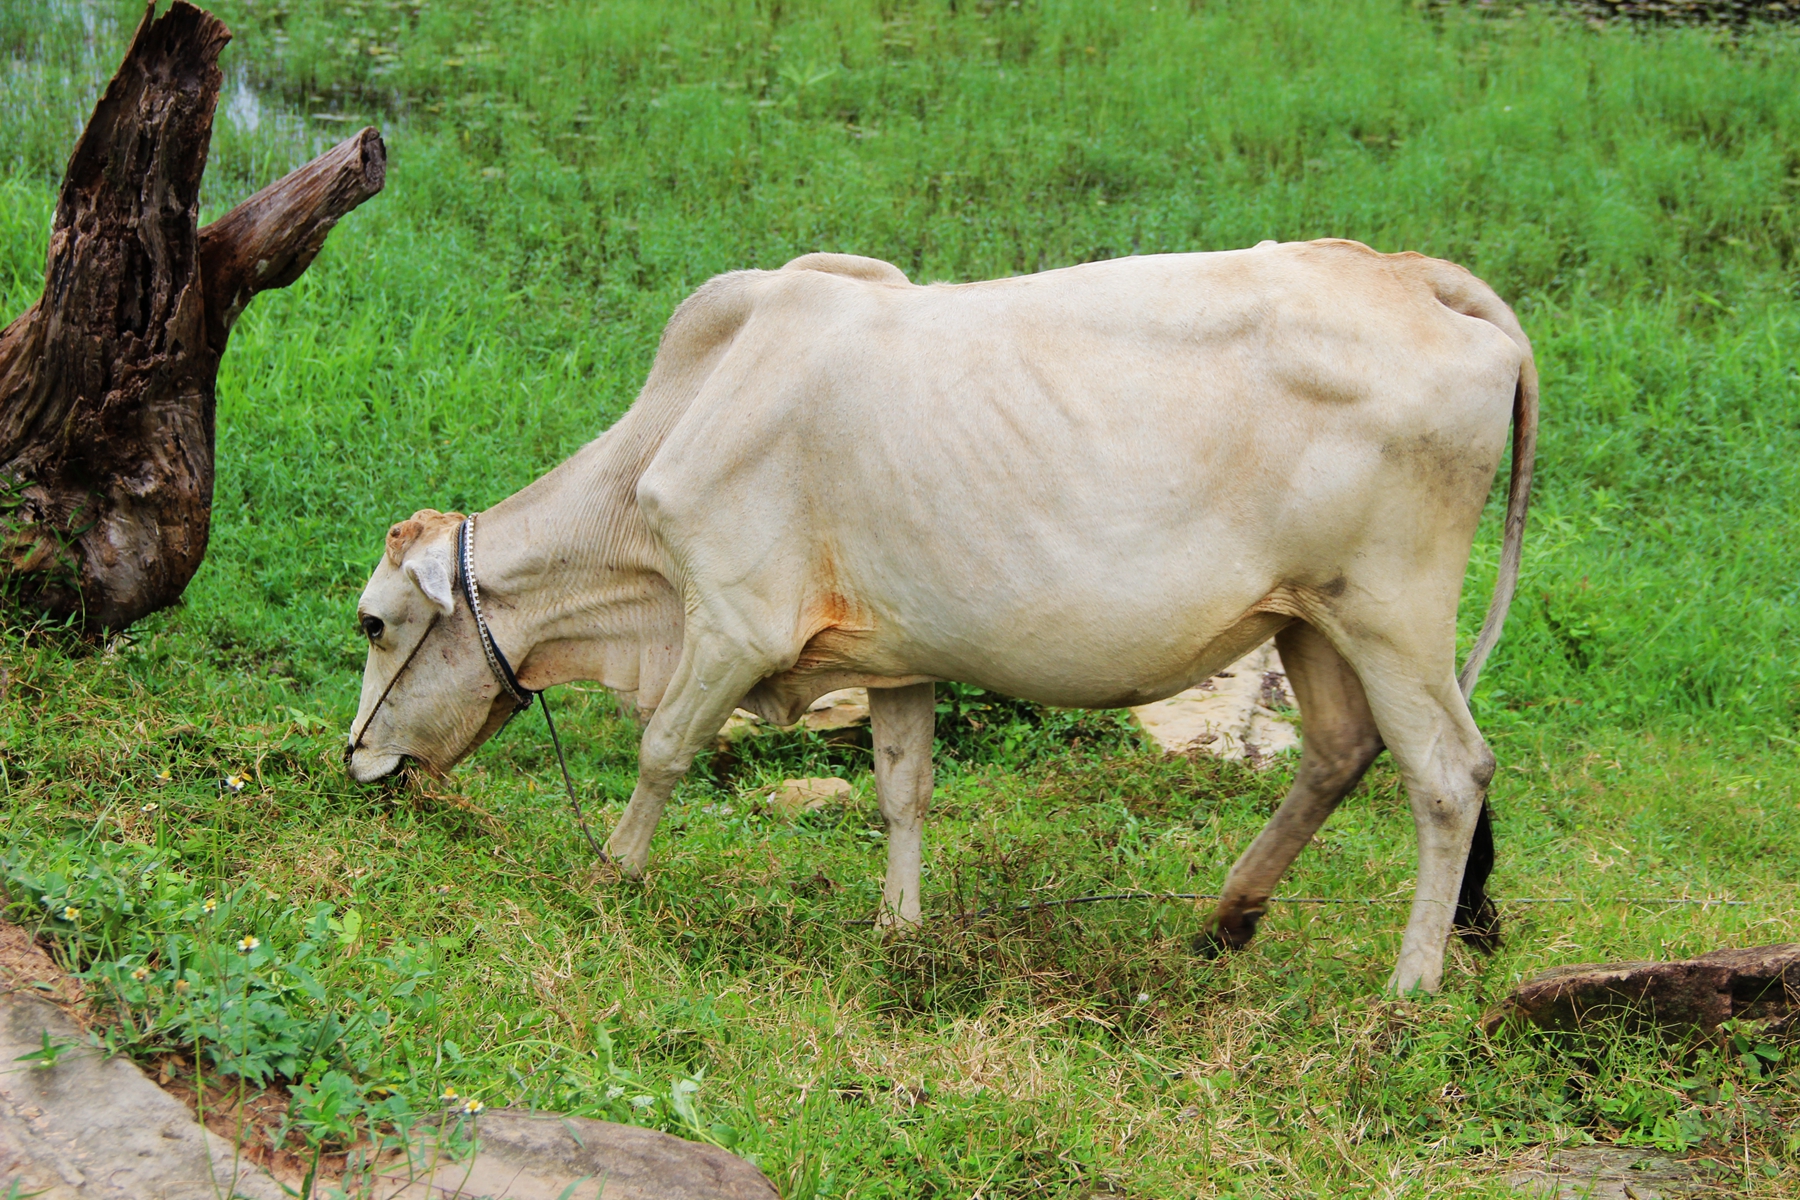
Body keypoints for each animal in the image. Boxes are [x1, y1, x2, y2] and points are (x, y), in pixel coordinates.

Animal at [347, 241, 1533, 993]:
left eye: (371, 625)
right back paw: (1223, 923)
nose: (354, 760)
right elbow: (903, 791)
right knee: (1338, 751)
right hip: (1311, 617)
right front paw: (899, 930)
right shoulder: (893, 654)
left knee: (1449, 773)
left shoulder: (730, 623)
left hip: (1393, 612)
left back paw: (1409, 986)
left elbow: (662, 750)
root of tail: (1411, 273)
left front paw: (611, 877)